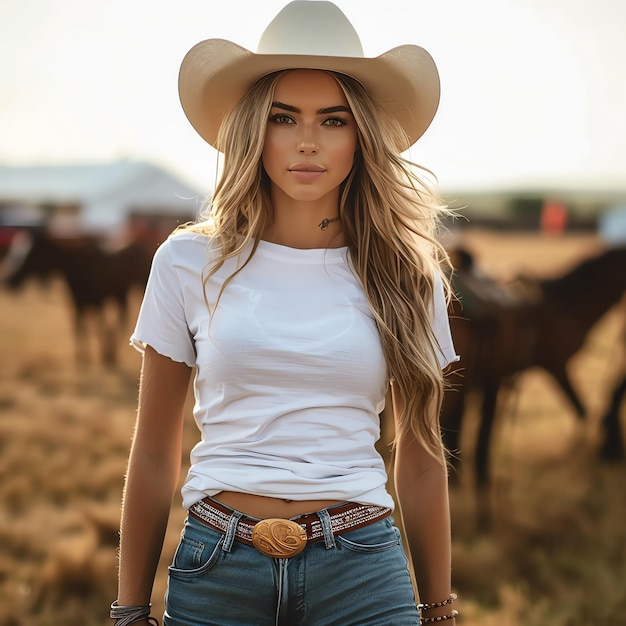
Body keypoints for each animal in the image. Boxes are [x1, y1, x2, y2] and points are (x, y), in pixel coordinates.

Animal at [2, 228, 154, 366]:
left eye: (32, 253)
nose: (10, 281)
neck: (78, 269)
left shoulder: (97, 303)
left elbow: (98, 327)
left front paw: (101, 356)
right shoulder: (77, 304)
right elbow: (80, 329)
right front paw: (82, 359)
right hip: (120, 293)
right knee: (122, 319)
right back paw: (112, 352)